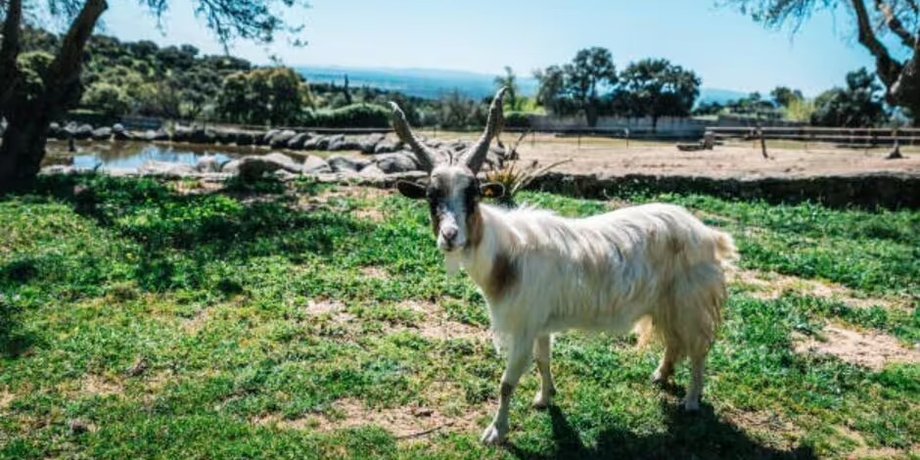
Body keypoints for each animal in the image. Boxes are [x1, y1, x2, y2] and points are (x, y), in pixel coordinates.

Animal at [389, 88, 737, 445]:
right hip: (668, 302)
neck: (505, 255)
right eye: (431, 197)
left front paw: (496, 431)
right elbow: (544, 360)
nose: (450, 236)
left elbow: (506, 382)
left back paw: (692, 401)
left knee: (698, 349)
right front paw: (545, 398)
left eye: (473, 195)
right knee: (674, 341)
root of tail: (709, 235)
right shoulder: (541, 324)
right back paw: (661, 376)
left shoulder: (525, 324)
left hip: (690, 301)